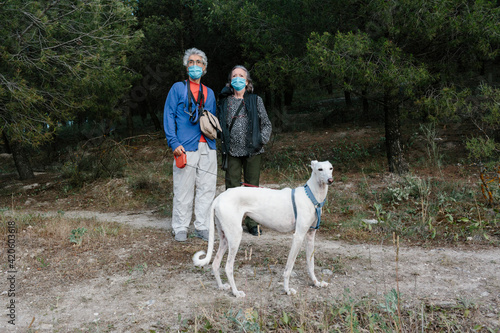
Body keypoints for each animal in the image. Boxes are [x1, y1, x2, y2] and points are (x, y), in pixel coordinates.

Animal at [193, 160, 334, 296]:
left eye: (331, 168)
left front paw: (316, 283)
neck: (311, 196)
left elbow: (311, 265)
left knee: (215, 263)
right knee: (228, 267)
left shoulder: (310, 236)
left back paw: (222, 286)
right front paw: (287, 290)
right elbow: (288, 268)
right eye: (319, 169)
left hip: (224, 238)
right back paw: (236, 292)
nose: (330, 180)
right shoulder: (298, 236)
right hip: (235, 237)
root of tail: (218, 198)